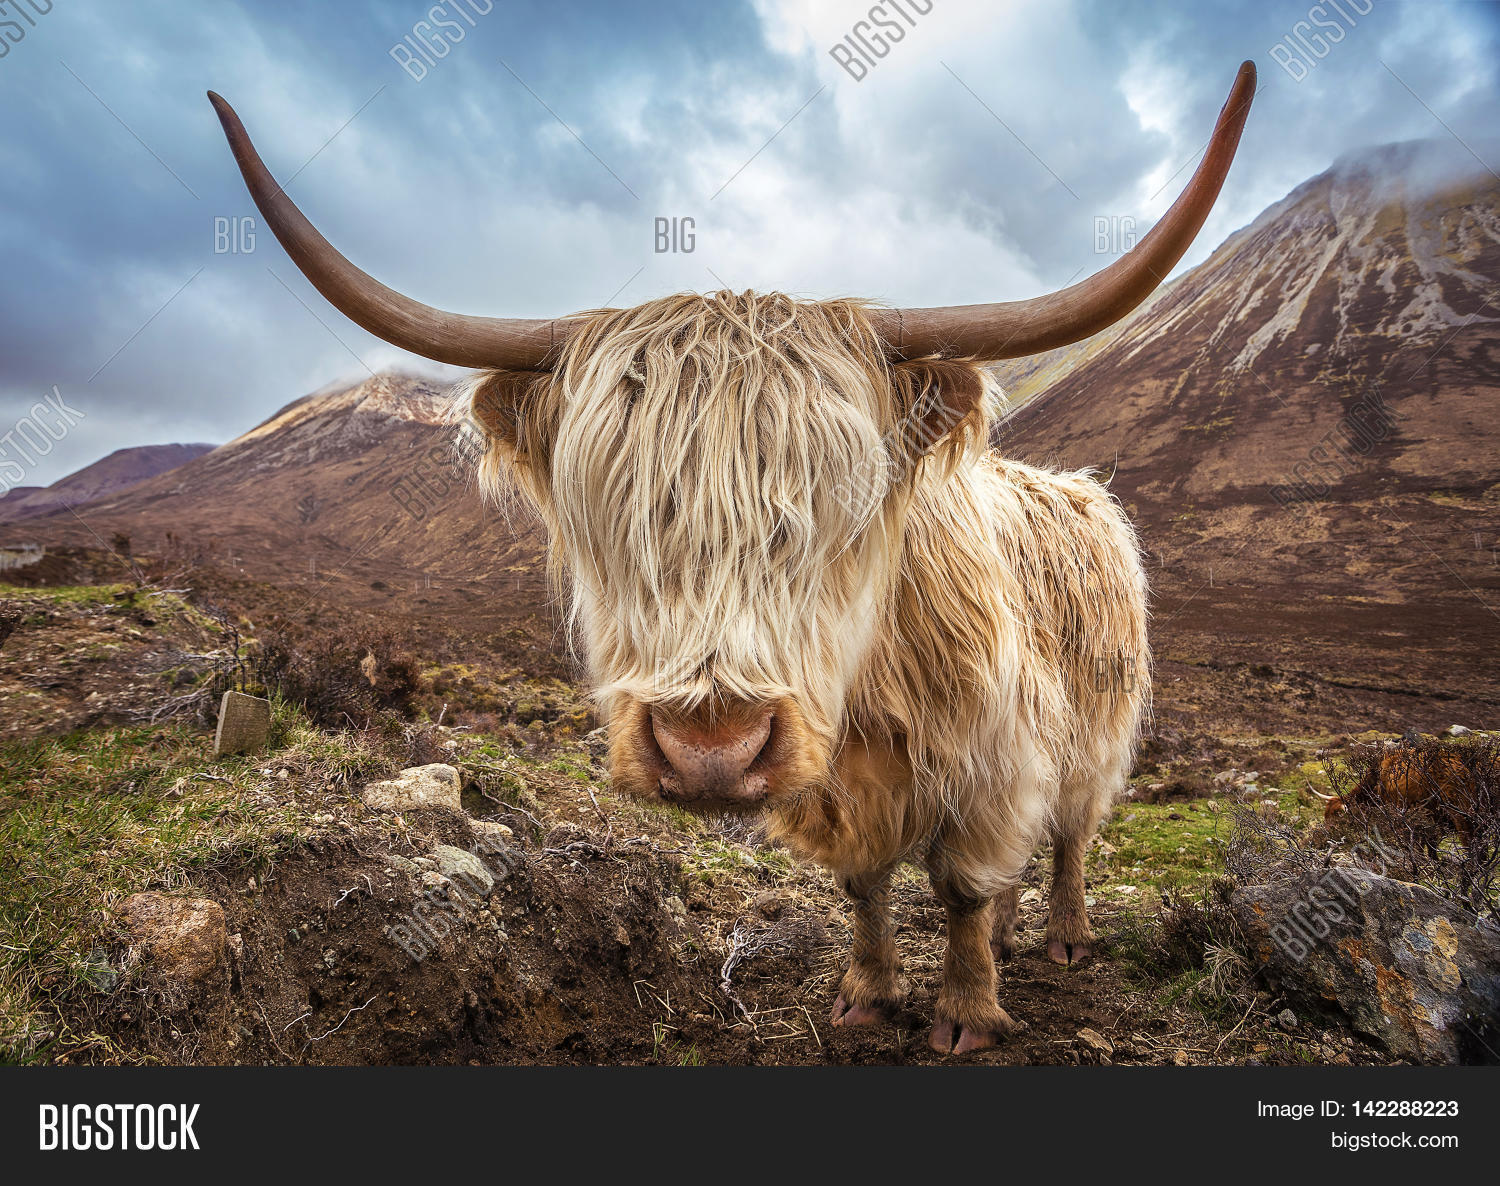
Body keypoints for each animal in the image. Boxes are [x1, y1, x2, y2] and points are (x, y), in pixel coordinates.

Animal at [210, 61, 1255, 1053]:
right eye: (613, 512)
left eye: (841, 510)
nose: (711, 750)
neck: (869, 706)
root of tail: (1085, 491)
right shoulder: (841, 793)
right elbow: (866, 886)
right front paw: (867, 995)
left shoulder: (993, 757)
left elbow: (961, 885)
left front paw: (964, 1012)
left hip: (1096, 730)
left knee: (1072, 833)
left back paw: (1065, 937)